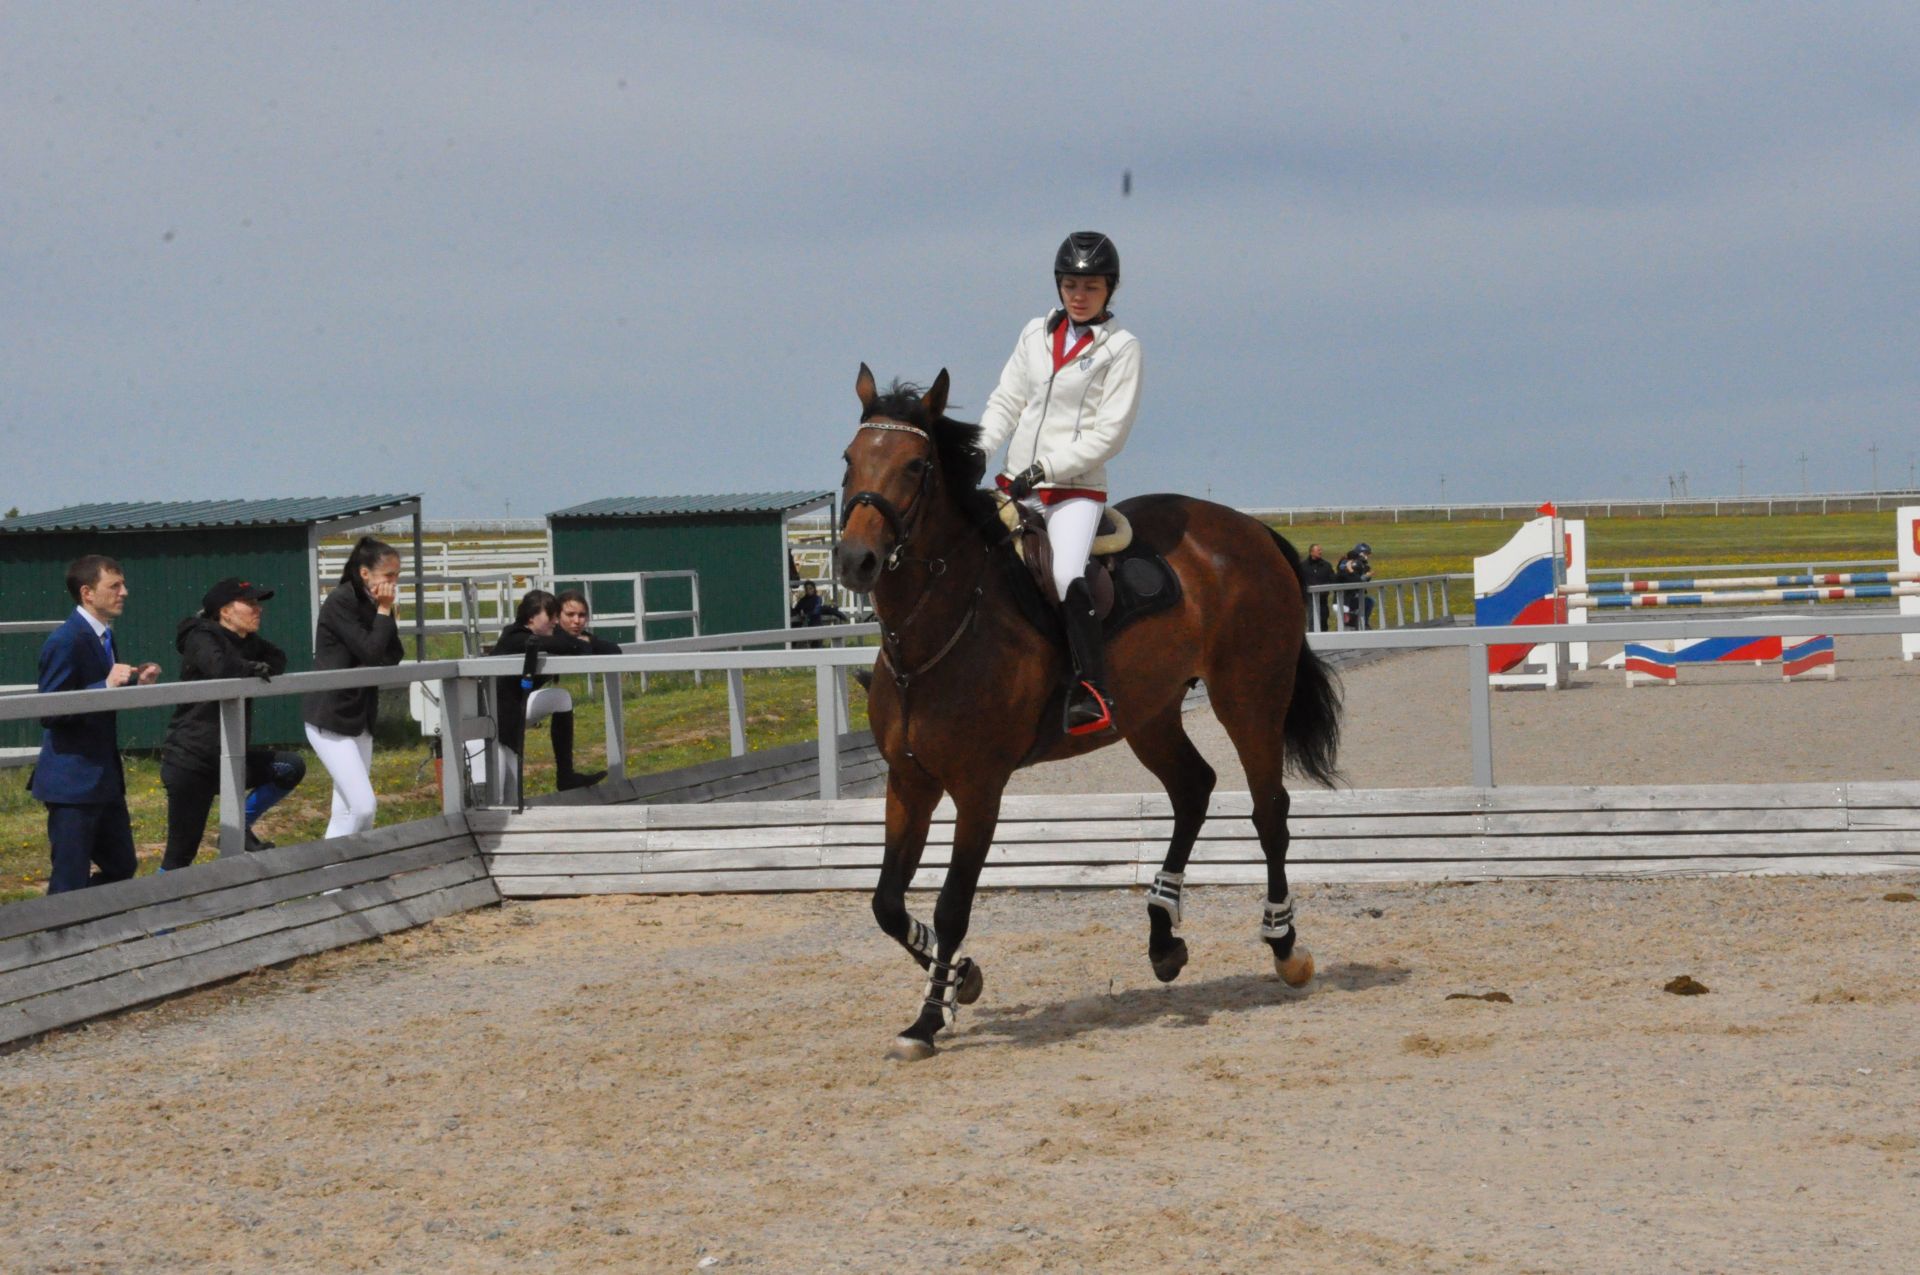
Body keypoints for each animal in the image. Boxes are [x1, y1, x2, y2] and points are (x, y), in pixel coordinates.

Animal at [833, 362, 1344, 1059]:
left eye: (916, 466)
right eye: (849, 459)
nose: (853, 561)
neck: (938, 629)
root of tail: (1248, 529)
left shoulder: (978, 790)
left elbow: (951, 906)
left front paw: (928, 1019)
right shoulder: (909, 781)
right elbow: (886, 904)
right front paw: (962, 977)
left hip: (1249, 698)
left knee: (1269, 812)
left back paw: (1285, 946)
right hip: (1149, 714)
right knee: (1194, 789)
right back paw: (1163, 937)